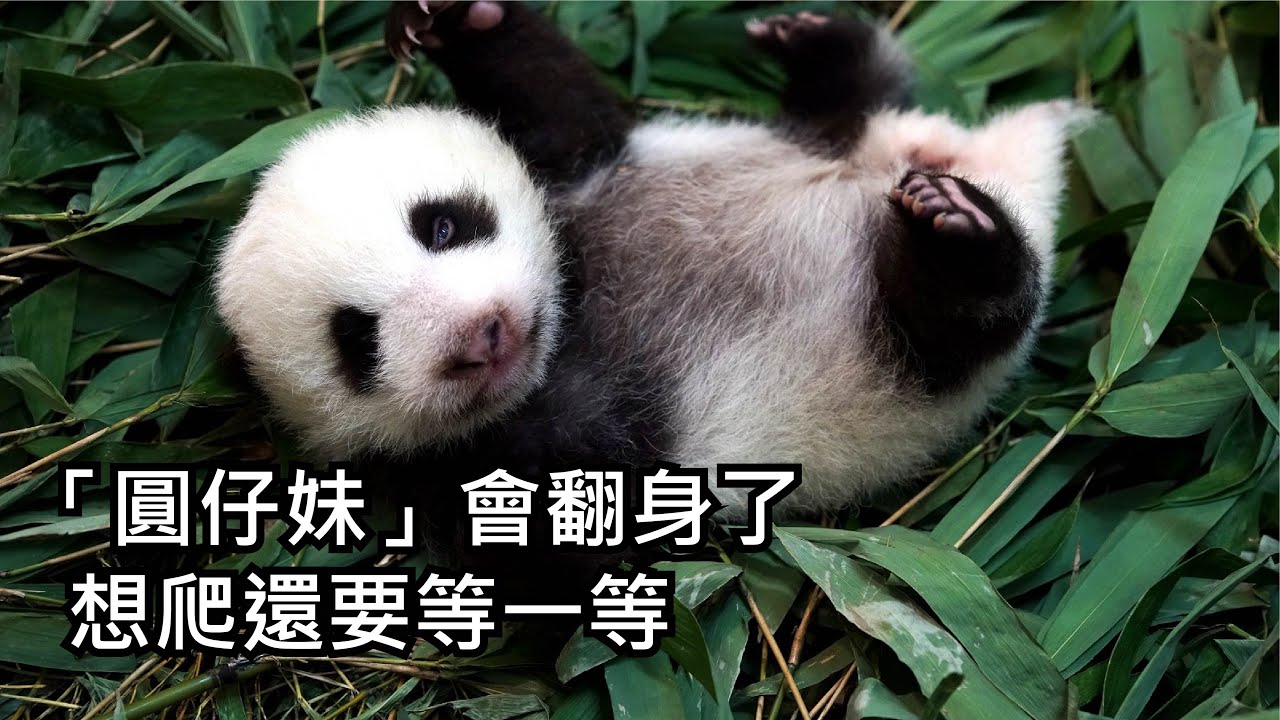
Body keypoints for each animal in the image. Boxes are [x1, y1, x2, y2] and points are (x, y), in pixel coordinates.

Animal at [215, 2, 1088, 590]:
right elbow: (552, 537)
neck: (574, 306)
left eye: (440, 224)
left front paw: (451, 18)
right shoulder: (476, 462)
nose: (483, 332)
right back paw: (958, 240)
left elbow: (565, 100)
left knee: (852, 103)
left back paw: (818, 47)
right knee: (955, 320)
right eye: (357, 339)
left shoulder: (586, 166)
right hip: (901, 359)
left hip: (814, 145)